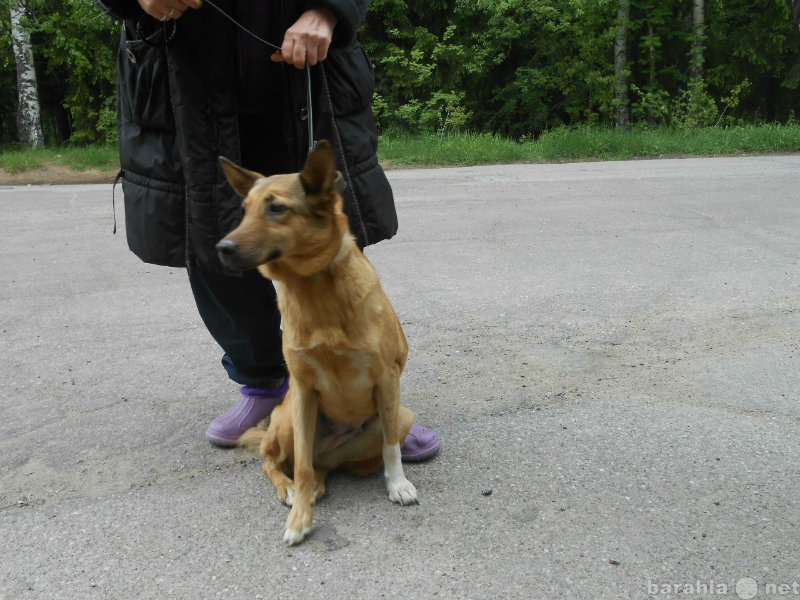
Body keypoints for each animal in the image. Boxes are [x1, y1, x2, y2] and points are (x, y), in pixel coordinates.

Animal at [217, 139, 418, 544]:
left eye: (277, 208)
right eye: (244, 210)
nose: (222, 248)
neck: (314, 287)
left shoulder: (387, 381)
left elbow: (391, 449)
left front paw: (397, 485)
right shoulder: (303, 389)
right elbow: (301, 469)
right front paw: (299, 519)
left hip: (398, 416)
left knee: (325, 464)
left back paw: (318, 486)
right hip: (288, 420)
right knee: (280, 462)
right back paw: (291, 489)